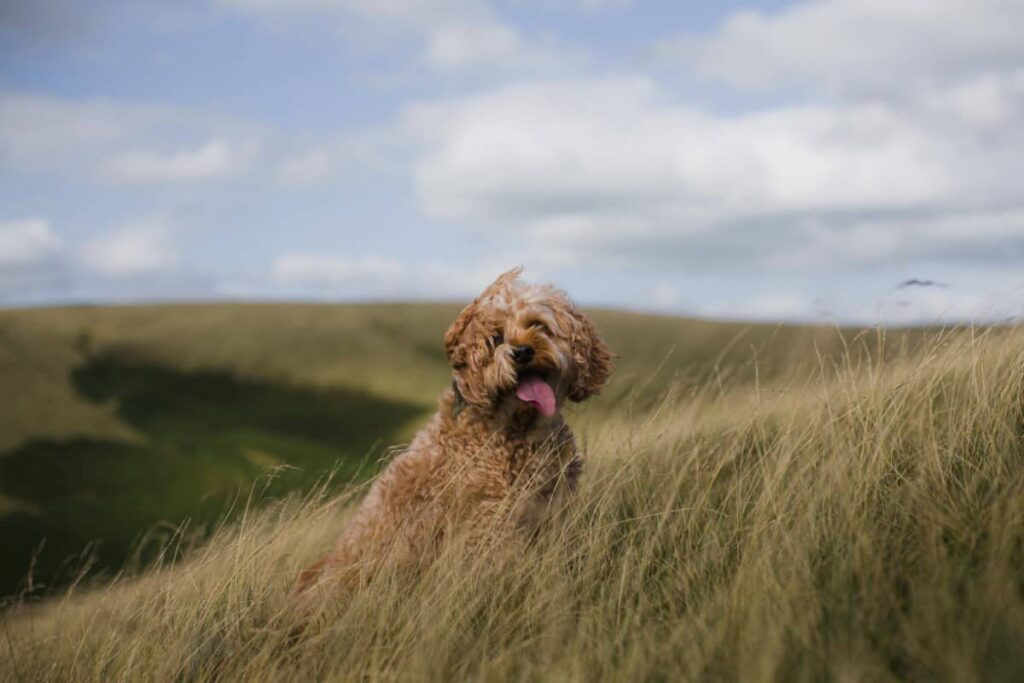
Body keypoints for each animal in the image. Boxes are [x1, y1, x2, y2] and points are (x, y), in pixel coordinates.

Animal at [294, 270, 606, 593]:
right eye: (495, 338)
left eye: (538, 325)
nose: (521, 352)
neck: (518, 429)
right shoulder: (492, 521)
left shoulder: (553, 511)